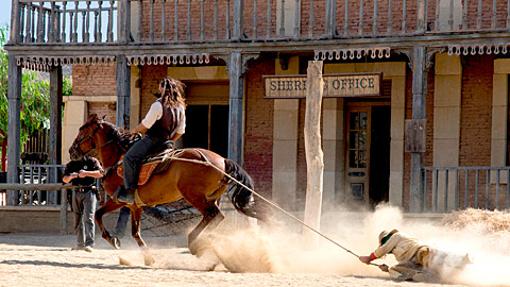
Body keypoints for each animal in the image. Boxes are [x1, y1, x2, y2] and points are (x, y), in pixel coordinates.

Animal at [68, 114, 264, 266]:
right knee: (217, 216)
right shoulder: (135, 206)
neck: (118, 159)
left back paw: (194, 242)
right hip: (211, 197)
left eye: (82, 130)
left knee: (212, 215)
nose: (71, 151)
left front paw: (112, 239)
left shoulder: (118, 200)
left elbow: (98, 214)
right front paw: (147, 258)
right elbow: (135, 232)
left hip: (194, 196)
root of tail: (222, 160)